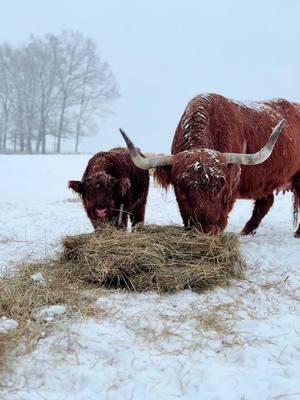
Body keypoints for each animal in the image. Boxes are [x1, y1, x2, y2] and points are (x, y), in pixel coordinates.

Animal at [120, 93, 300, 238]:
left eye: (221, 183)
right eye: (180, 186)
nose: (206, 231)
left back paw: (296, 233)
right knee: (265, 202)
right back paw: (246, 231)